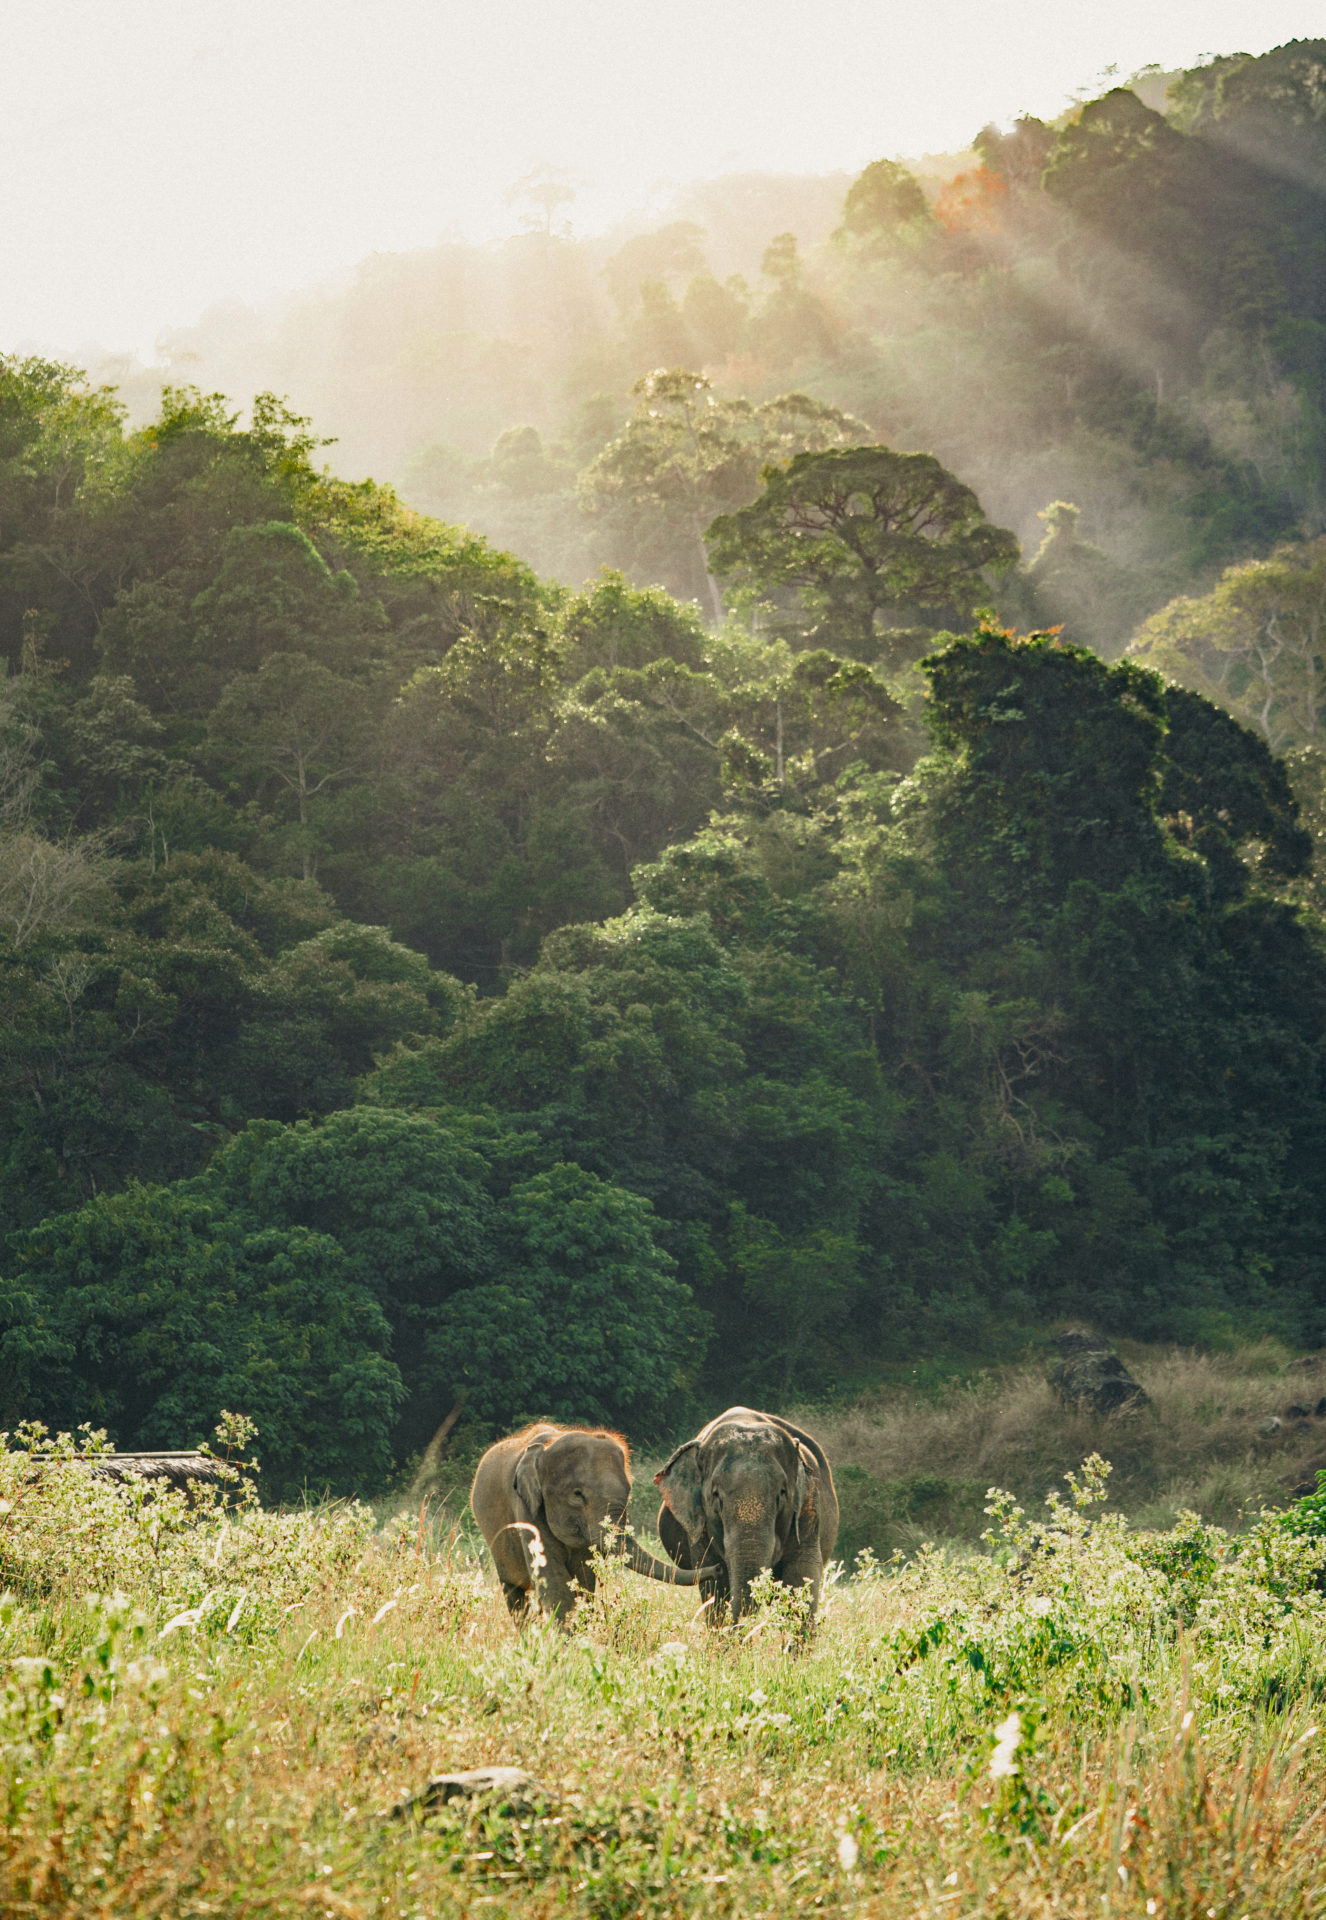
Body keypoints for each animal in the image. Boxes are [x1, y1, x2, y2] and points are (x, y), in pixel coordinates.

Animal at [470, 1420, 717, 1628]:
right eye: (577, 1494)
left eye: (629, 1491)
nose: (718, 1568)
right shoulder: (525, 1507)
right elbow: (553, 1578)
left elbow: (583, 1578)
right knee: (514, 1594)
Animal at [656, 1405, 840, 1628]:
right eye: (716, 1496)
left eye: (782, 1494)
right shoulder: (700, 1525)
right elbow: (715, 1587)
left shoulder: (807, 1512)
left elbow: (802, 1575)